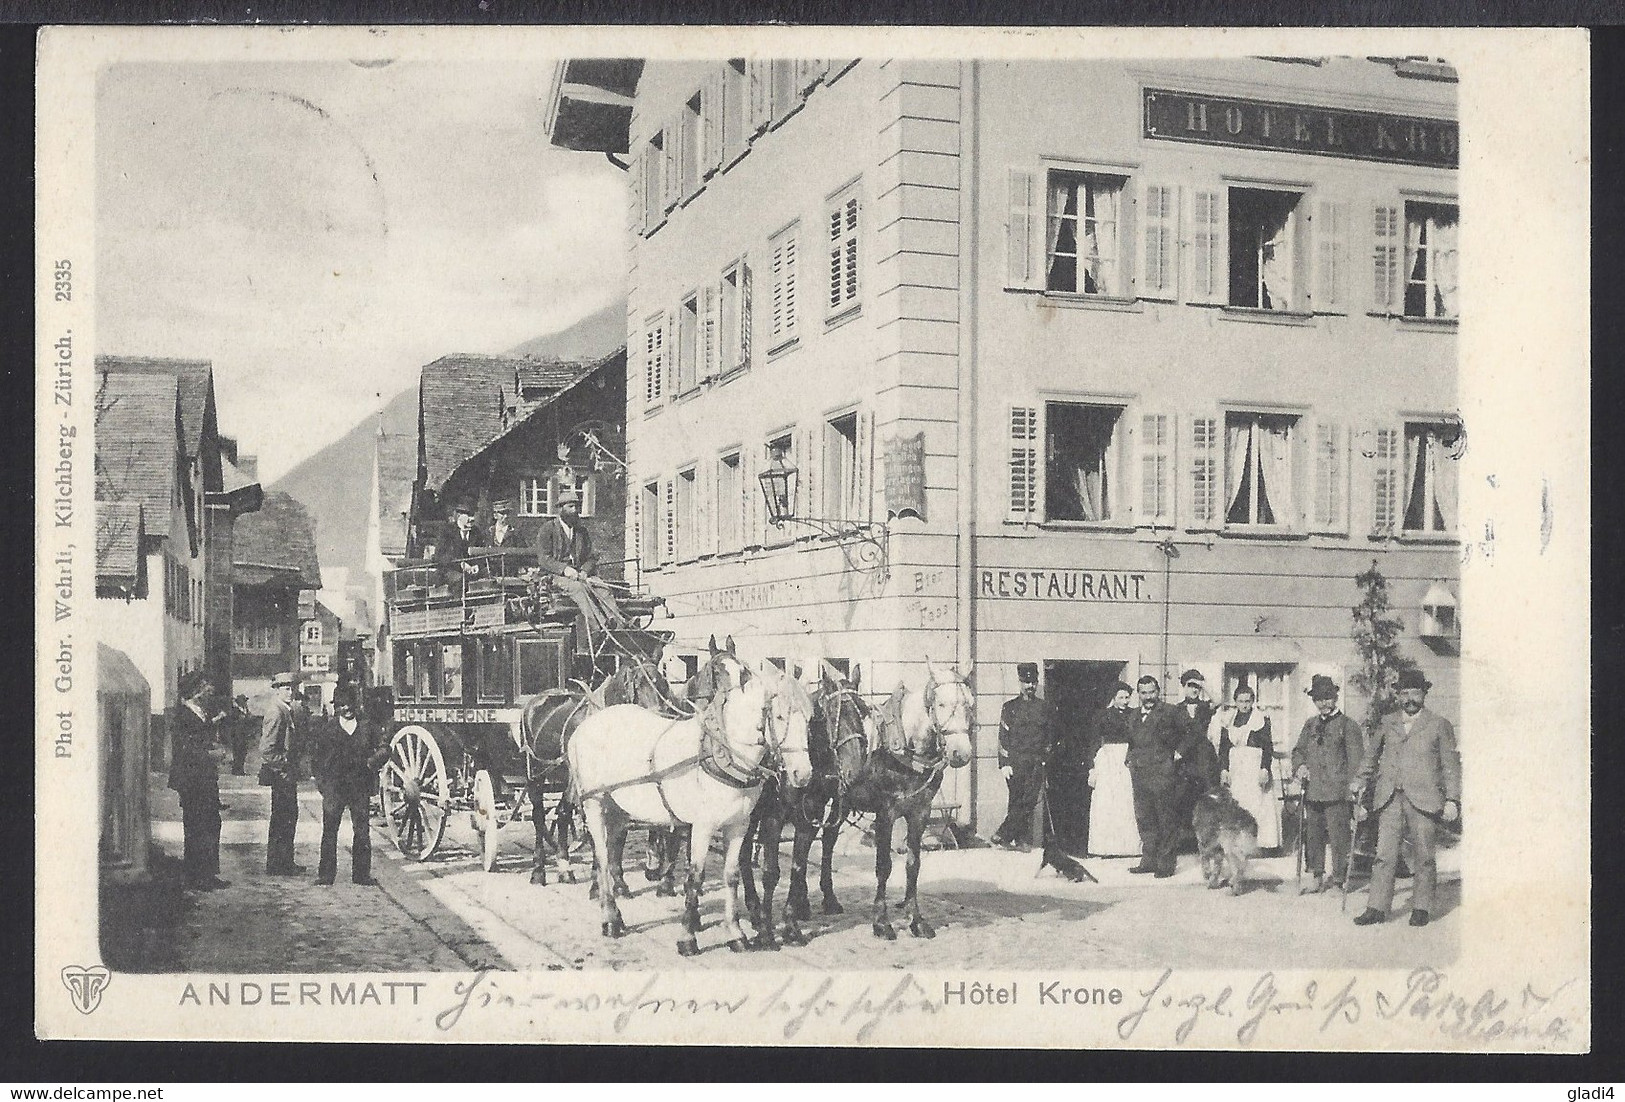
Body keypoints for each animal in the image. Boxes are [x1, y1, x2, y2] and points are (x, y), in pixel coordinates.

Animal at [565, 666, 812, 955]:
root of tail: (584, 727)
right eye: (781, 716)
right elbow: (695, 877)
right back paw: (609, 919)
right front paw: (687, 938)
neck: (721, 753)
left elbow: (731, 876)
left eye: (809, 720)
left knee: (611, 851)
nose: (803, 774)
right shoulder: (703, 826)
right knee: (603, 857)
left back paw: (617, 914)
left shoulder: (738, 826)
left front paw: (736, 934)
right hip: (595, 802)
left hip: (618, 809)